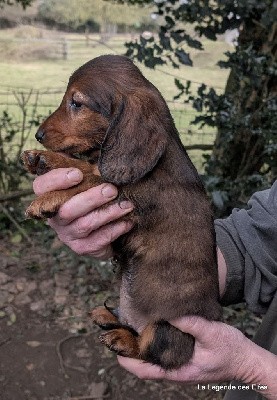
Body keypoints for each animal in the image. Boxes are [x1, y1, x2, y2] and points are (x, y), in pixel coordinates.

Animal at [22, 54, 221, 370]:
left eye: (76, 103)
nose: (38, 136)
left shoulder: (123, 199)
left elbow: (88, 180)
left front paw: (47, 199)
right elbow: (86, 168)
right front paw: (43, 159)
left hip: (166, 328)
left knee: (150, 350)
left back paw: (122, 339)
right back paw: (109, 316)